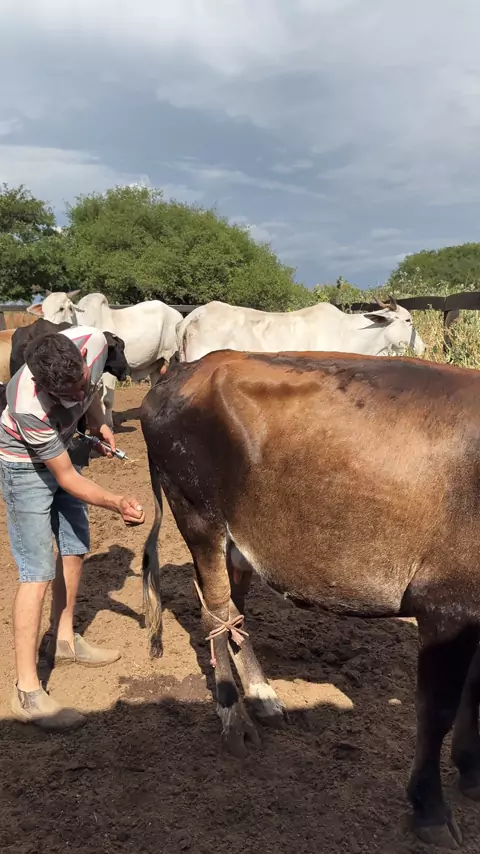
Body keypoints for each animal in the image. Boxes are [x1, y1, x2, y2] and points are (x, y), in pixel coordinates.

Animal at [140, 348, 480, 848]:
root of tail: (183, 368)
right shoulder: (446, 605)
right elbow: (437, 710)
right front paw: (431, 810)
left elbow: (474, 693)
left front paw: (472, 772)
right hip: (198, 516)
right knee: (215, 612)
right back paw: (234, 719)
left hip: (238, 541)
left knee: (233, 611)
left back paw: (262, 696)